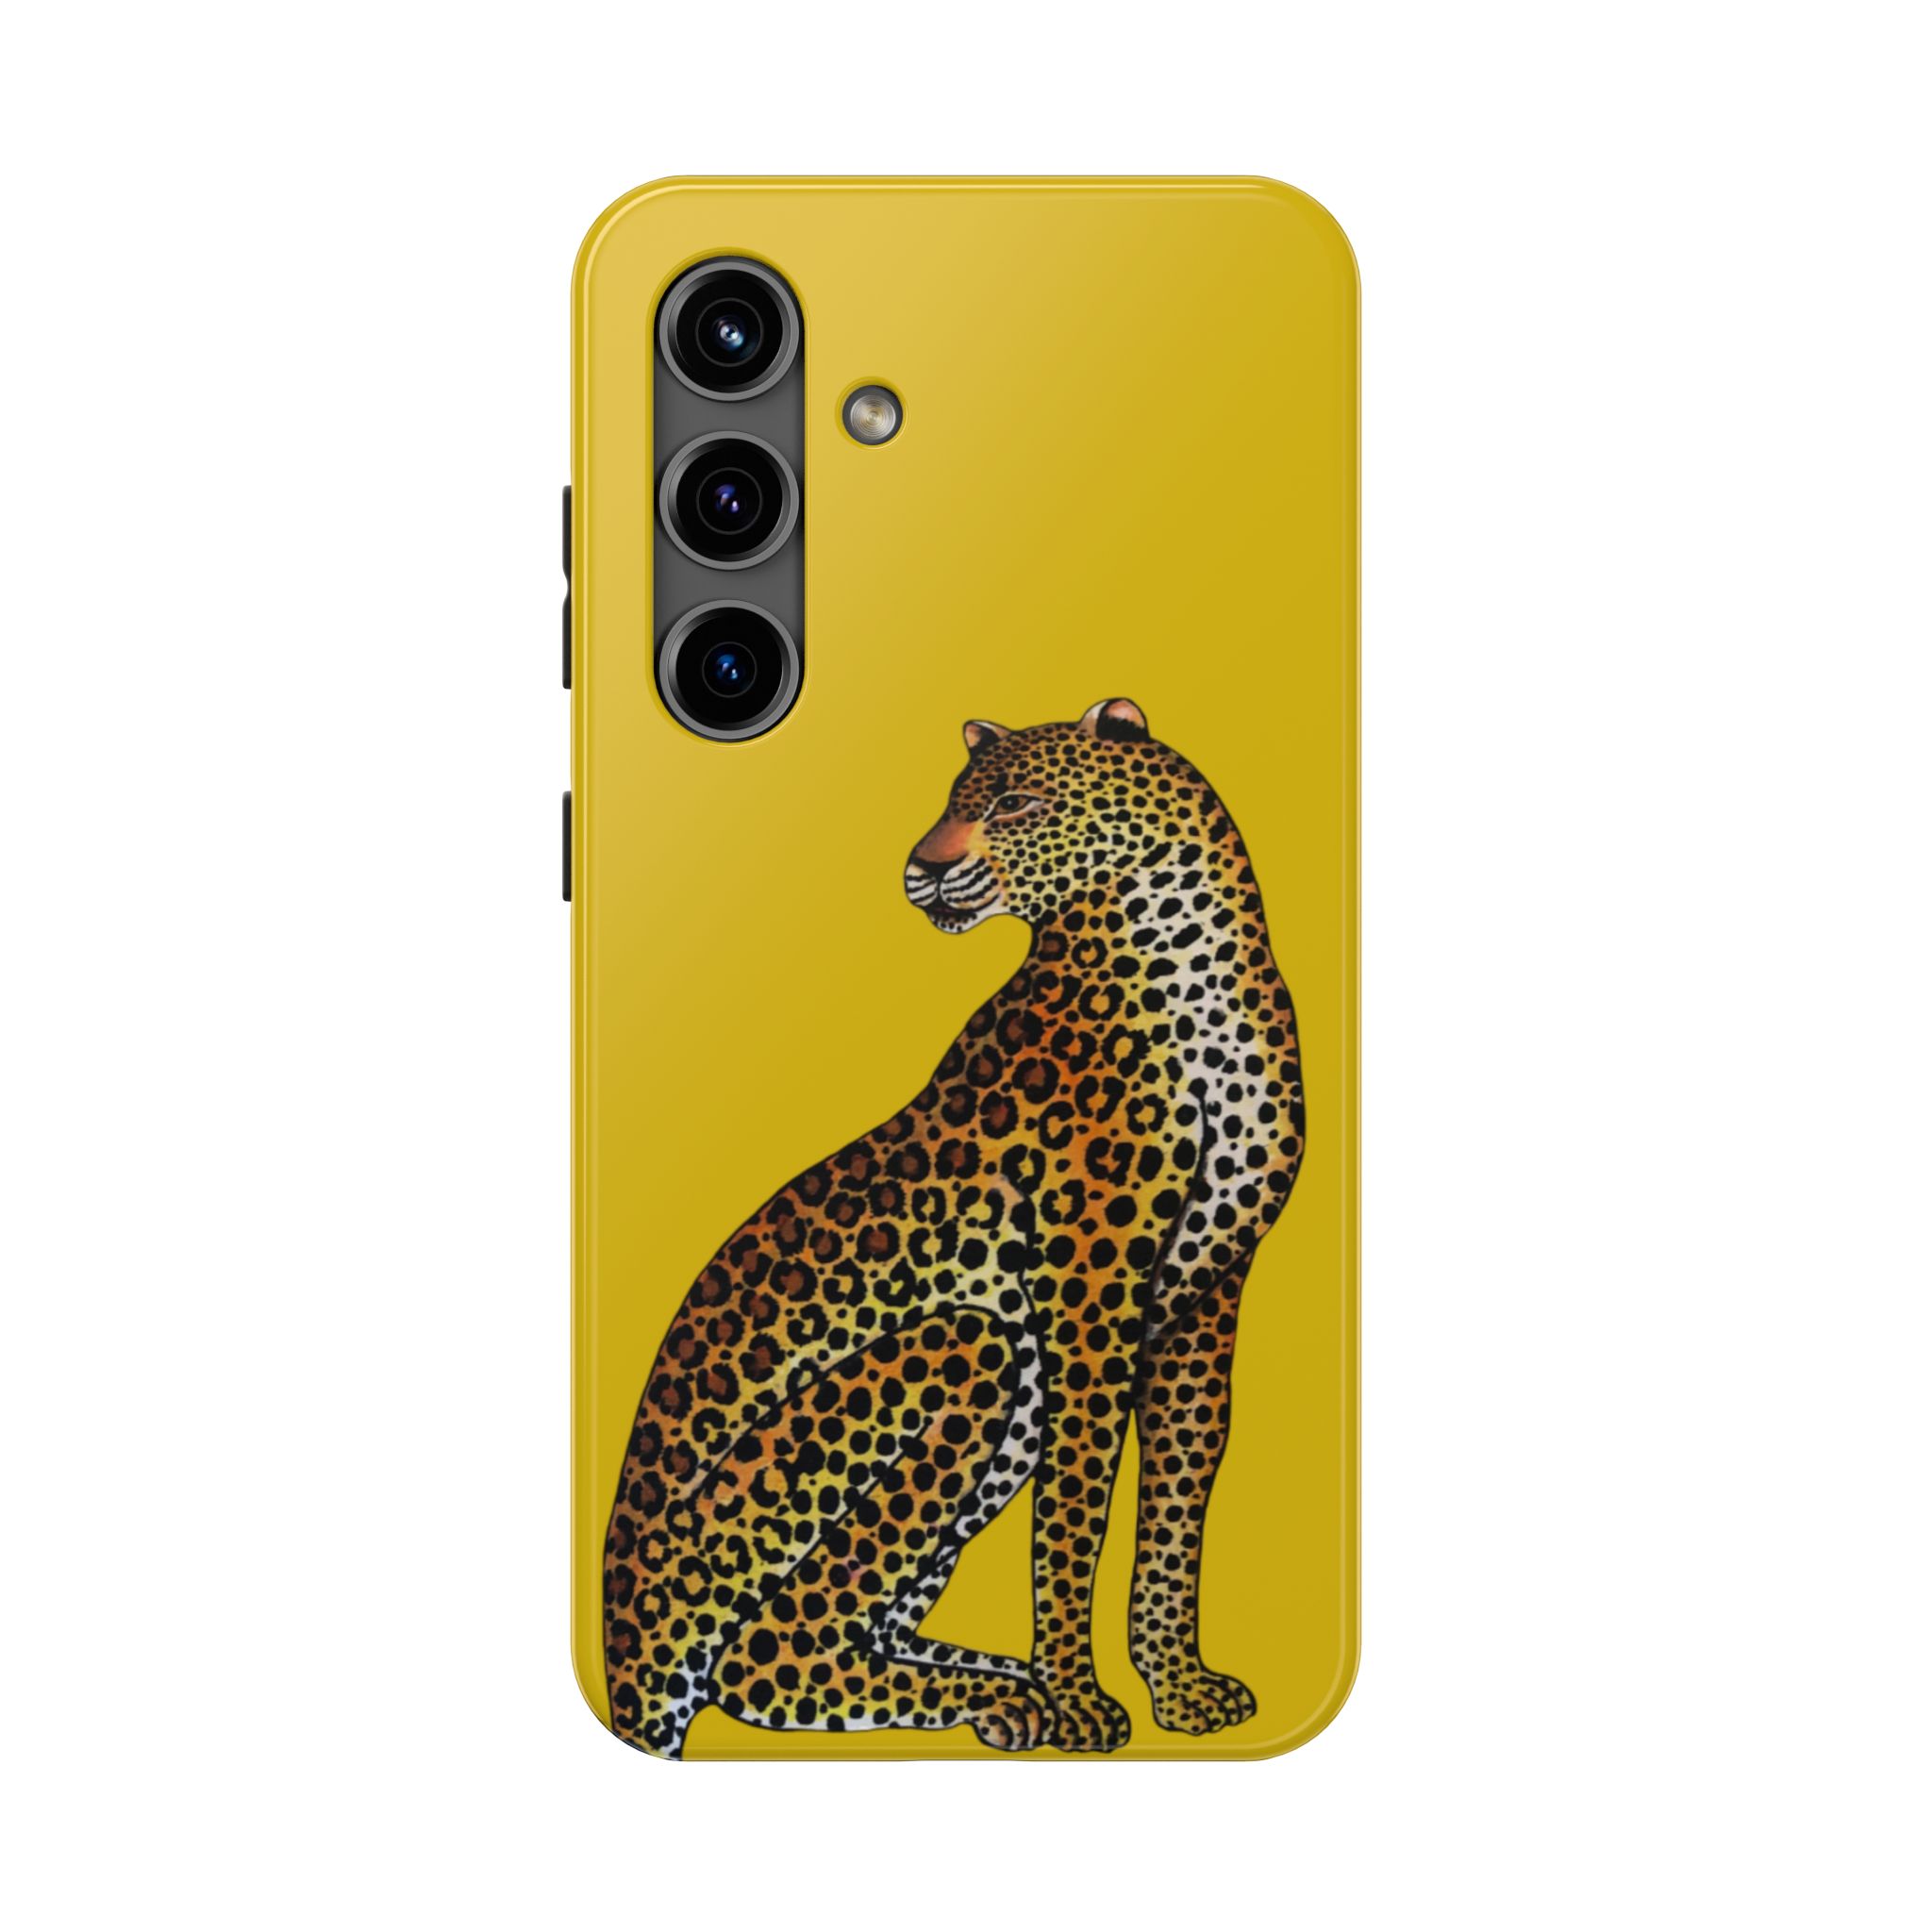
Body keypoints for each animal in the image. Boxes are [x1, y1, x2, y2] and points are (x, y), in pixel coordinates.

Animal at [602, 696, 1305, 1757]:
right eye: (952, 803)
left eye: (1013, 802)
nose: (920, 867)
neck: (1193, 957)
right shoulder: (1087, 1295)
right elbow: (1074, 1511)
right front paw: (1079, 1700)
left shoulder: (1204, 1297)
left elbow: (1178, 1498)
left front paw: (1177, 1688)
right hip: (968, 1350)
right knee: (766, 1650)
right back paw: (1009, 1696)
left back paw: (995, 1684)